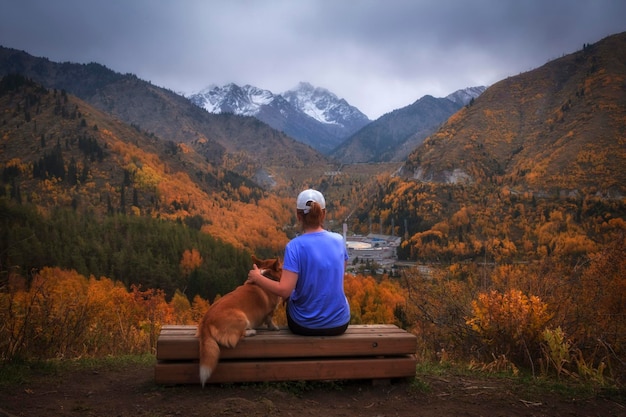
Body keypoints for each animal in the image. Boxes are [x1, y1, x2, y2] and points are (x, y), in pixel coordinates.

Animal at [196, 254, 282, 386]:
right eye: (282, 267)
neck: (266, 276)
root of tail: (206, 321)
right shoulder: (270, 312)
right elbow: (270, 320)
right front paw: (274, 327)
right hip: (242, 317)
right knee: (239, 336)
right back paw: (251, 331)